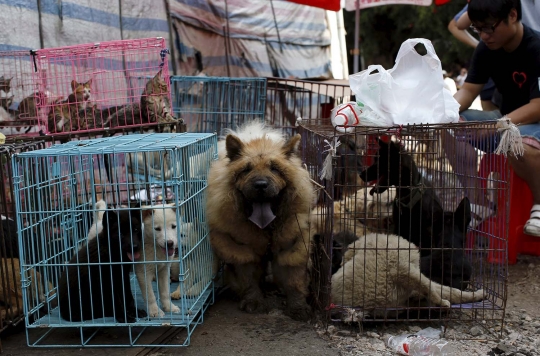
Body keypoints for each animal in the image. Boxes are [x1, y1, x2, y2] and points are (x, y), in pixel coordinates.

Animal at [208, 122, 316, 322]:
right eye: (246, 170)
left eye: (274, 169)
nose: (260, 184)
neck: (266, 228)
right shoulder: (243, 249)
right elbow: (249, 279)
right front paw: (254, 302)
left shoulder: (291, 246)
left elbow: (294, 280)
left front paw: (298, 307)